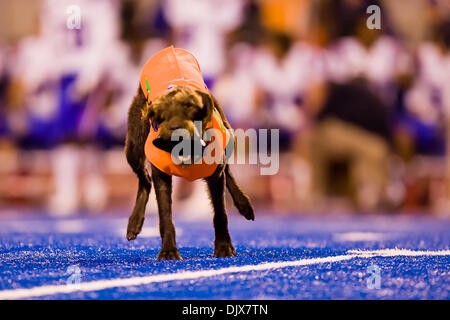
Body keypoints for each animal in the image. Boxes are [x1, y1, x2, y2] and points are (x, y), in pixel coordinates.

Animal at [125, 83, 255, 260]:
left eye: (189, 105)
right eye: (160, 111)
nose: (175, 128)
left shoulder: (215, 175)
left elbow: (220, 213)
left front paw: (223, 247)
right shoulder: (161, 175)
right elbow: (165, 215)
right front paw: (168, 250)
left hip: (228, 134)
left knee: (227, 171)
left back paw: (244, 204)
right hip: (134, 144)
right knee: (145, 180)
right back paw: (134, 223)